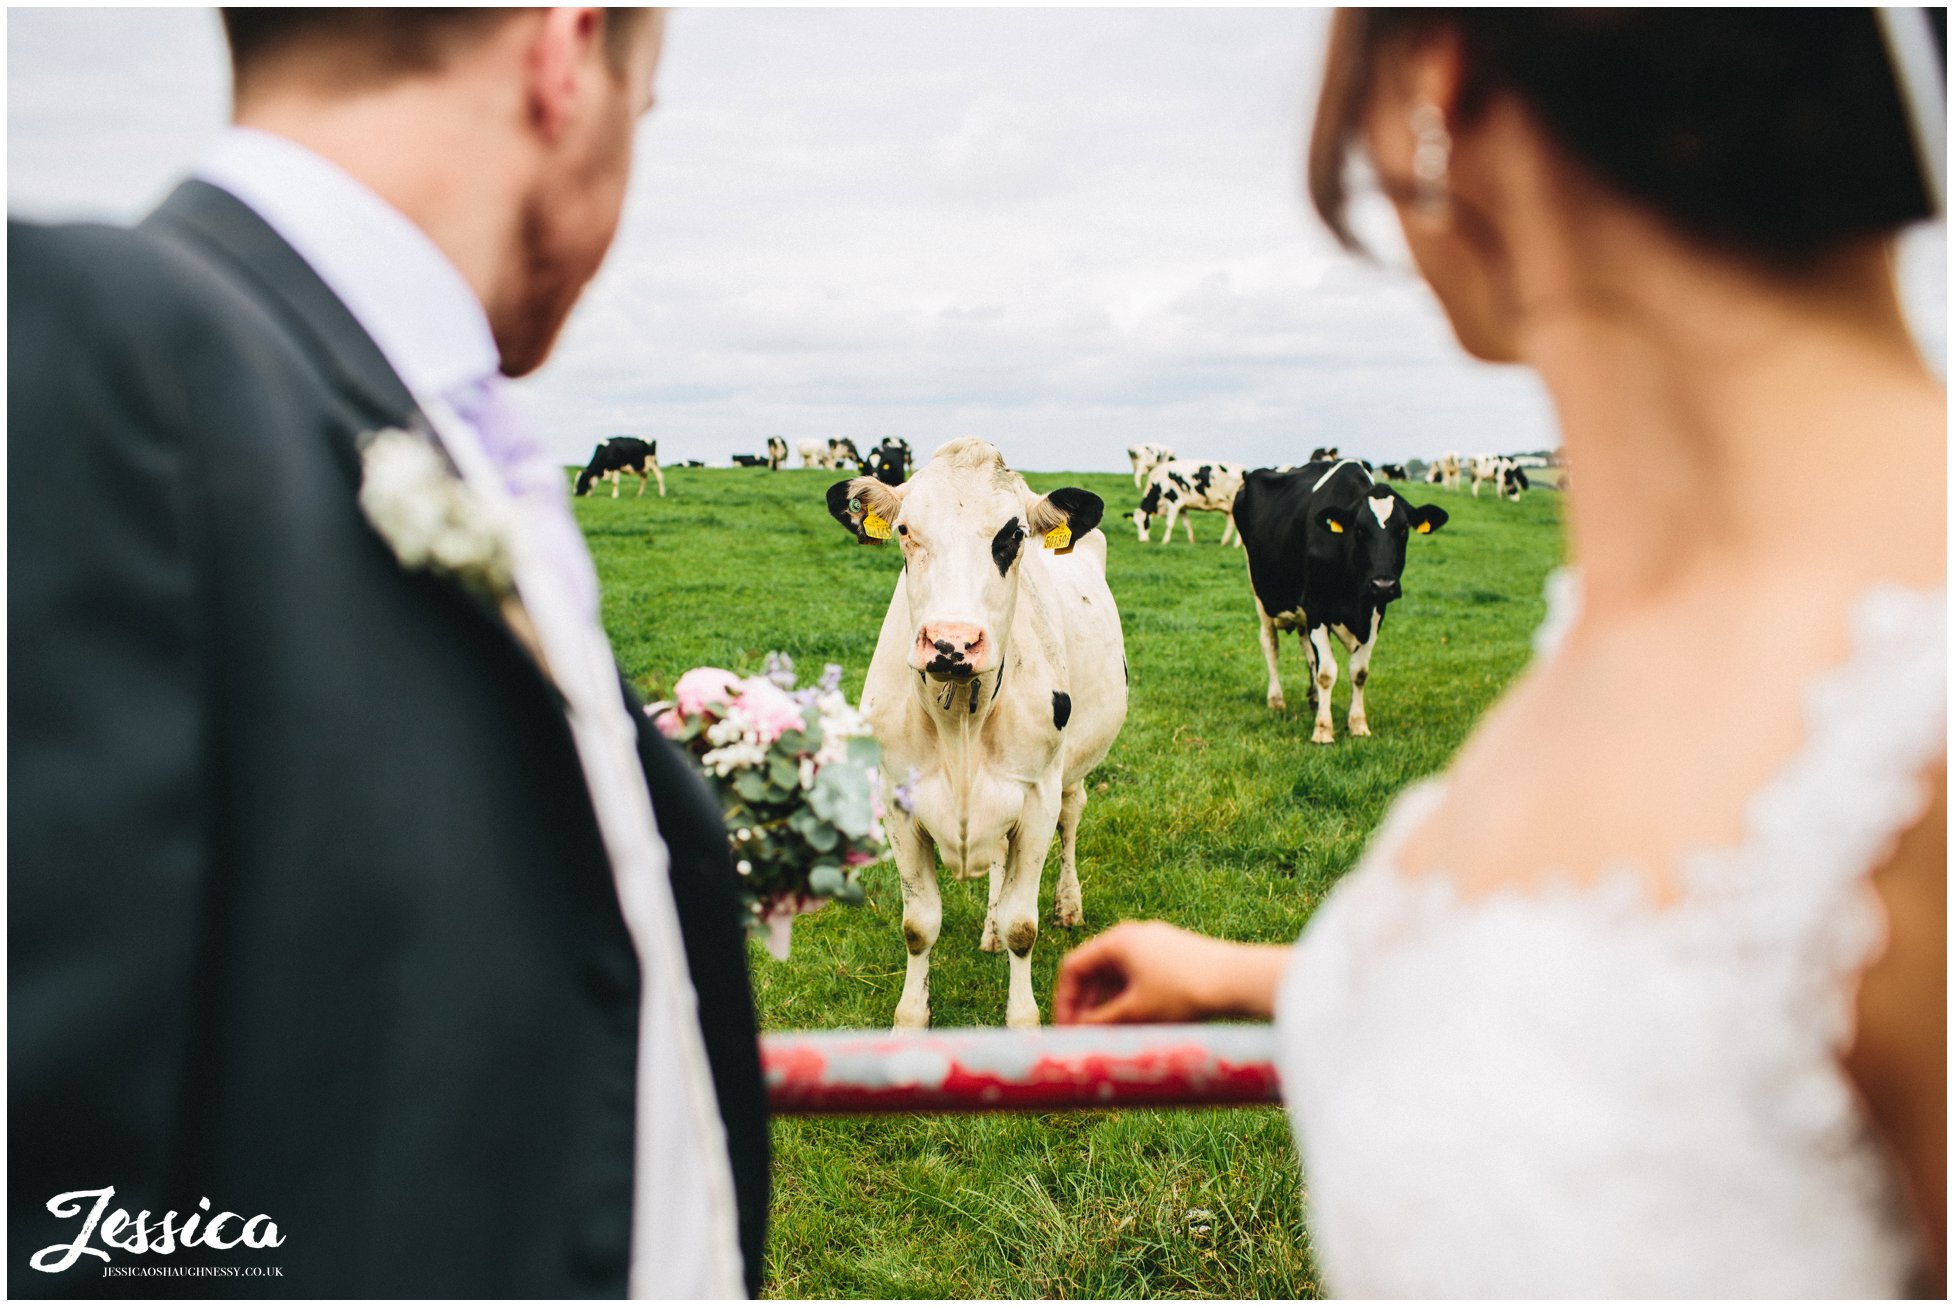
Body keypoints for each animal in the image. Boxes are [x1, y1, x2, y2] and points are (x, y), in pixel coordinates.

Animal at [828, 437, 1133, 1031]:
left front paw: (1023, 1019)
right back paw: (989, 929)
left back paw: (1068, 904)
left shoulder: (1036, 798)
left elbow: (1023, 925)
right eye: (905, 529)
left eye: (1012, 535)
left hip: (1070, 772)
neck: (959, 725)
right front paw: (911, 1017)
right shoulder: (898, 803)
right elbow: (918, 924)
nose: (952, 643)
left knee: (1072, 819)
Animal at [1242, 459, 1445, 742]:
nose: (1384, 584)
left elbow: (1358, 671)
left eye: (1404, 530)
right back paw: (1276, 700)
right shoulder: (1316, 608)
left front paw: (1358, 724)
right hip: (1261, 594)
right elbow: (1327, 672)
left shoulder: (1375, 611)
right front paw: (1323, 730)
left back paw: (1315, 699)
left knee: (1307, 651)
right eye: (1359, 530)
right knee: (1270, 644)